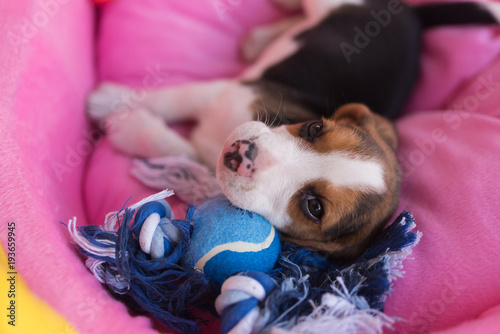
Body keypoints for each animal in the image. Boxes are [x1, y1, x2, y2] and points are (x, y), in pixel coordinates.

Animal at [90, 0, 500, 258]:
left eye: (314, 207)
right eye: (315, 127)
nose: (239, 153)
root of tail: (413, 17)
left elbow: (180, 148)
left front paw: (128, 127)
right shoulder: (223, 93)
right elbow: (169, 99)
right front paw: (110, 100)